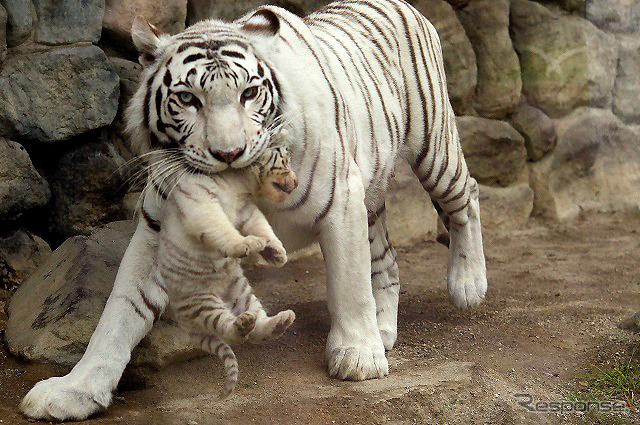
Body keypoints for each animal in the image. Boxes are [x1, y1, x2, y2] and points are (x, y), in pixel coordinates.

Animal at [22, 0, 488, 418]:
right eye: (188, 99)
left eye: (249, 93)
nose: (229, 153)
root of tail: (401, 4)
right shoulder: (160, 231)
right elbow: (119, 312)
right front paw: (74, 391)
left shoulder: (341, 201)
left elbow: (349, 286)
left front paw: (357, 357)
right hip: (371, 193)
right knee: (387, 258)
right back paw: (384, 329)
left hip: (434, 148)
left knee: (466, 197)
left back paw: (467, 285)